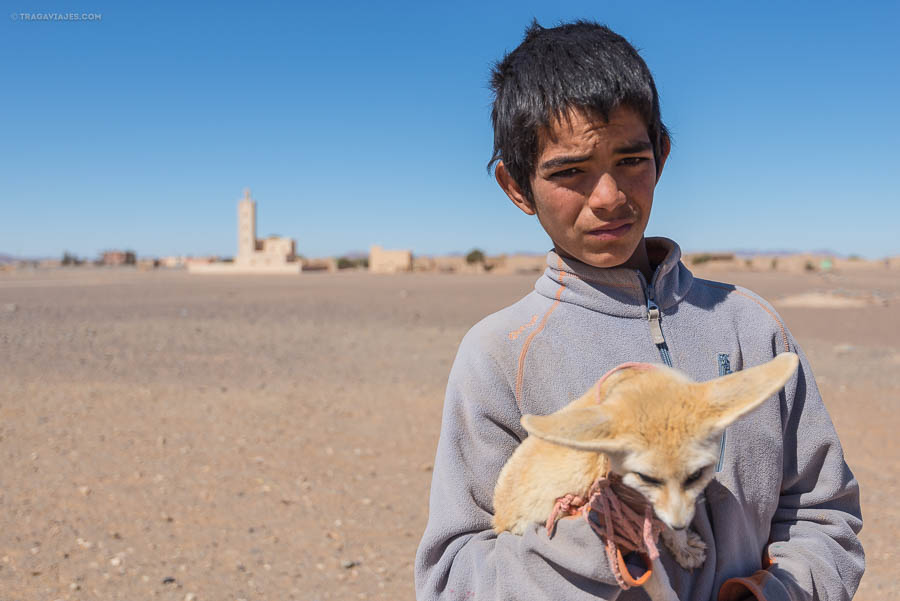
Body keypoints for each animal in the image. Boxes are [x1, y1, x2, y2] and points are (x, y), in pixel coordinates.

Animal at [496, 354, 800, 596]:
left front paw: (681, 545)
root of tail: (498, 520)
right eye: (647, 478)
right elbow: (661, 586)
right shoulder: (625, 530)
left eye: (696, 475)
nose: (679, 524)